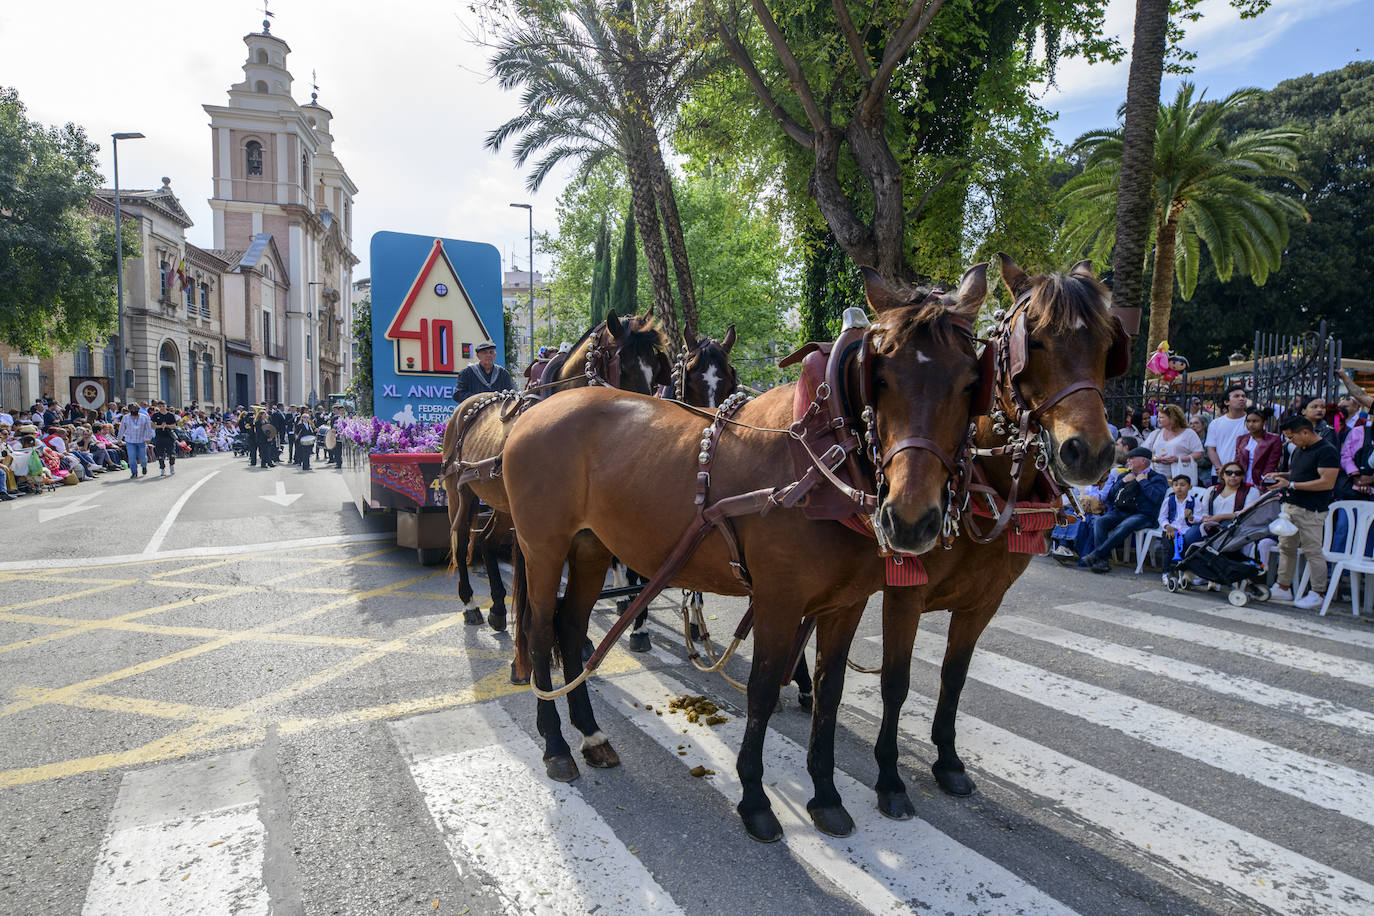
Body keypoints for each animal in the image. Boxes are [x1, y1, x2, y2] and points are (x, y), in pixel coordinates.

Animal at [442, 311, 673, 634]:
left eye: (655, 370)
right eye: (623, 368)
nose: (649, 433)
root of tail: (467, 406)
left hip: (502, 503)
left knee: (487, 542)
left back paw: (498, 607)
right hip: (458, 492)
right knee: (461, 539)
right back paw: (470, 603)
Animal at [502, 260, 989, 840]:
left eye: (971, 383)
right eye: (882, 377)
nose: (912, 519)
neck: (822, 458)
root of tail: (536, 410)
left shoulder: (845, 604)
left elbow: (828, 692)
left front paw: (825, 795)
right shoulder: (778, 599)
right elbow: (761, 690)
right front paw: (755, 798)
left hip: (592, 550)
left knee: (571, 627)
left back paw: (591, 734)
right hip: (542, 549)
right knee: (538, 631)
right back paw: (556, 743)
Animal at [868, 254, 1126, 818]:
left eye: (1105, 344)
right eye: (1039, 341)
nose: (1090, 452)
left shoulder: (984, 601)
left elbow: (954, 676)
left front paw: (947, 761)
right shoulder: (903, 591)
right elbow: (895, 682)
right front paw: (889, 776)